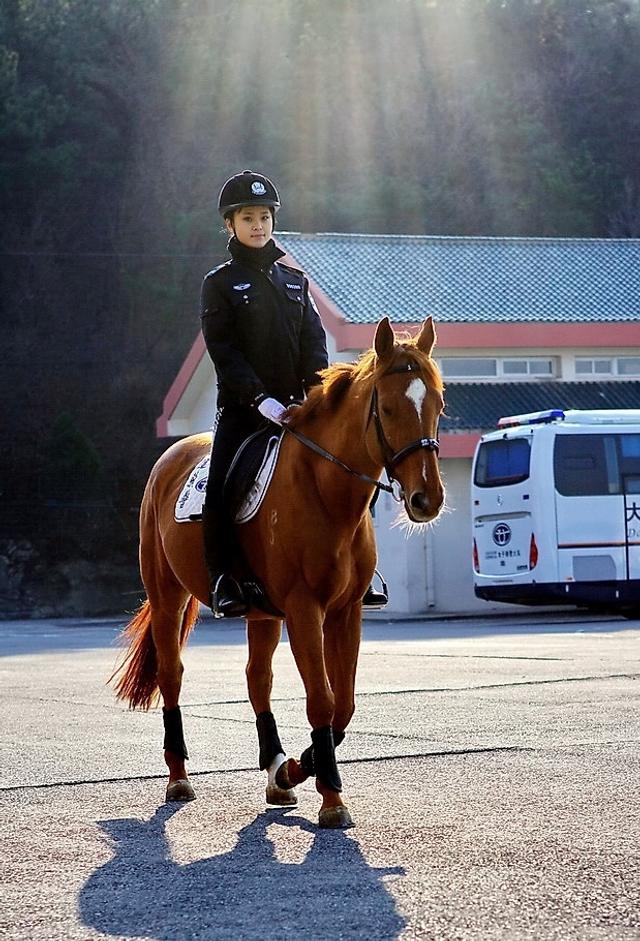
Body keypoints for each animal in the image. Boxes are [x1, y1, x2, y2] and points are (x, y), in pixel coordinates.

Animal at [110, 318, 444, 828]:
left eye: (439, 405)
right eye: (387, 407)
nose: (428, 499)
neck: (324, 490)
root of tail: (171, 455)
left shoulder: (346, 611)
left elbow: (343, 702)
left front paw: (296, 769)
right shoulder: (305, 608)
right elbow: (322, 698)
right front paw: (331, 798)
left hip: (262, 614)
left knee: (257, 679)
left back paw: (275, 771)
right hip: (169, 598)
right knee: (172, 676)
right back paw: (178, 778)